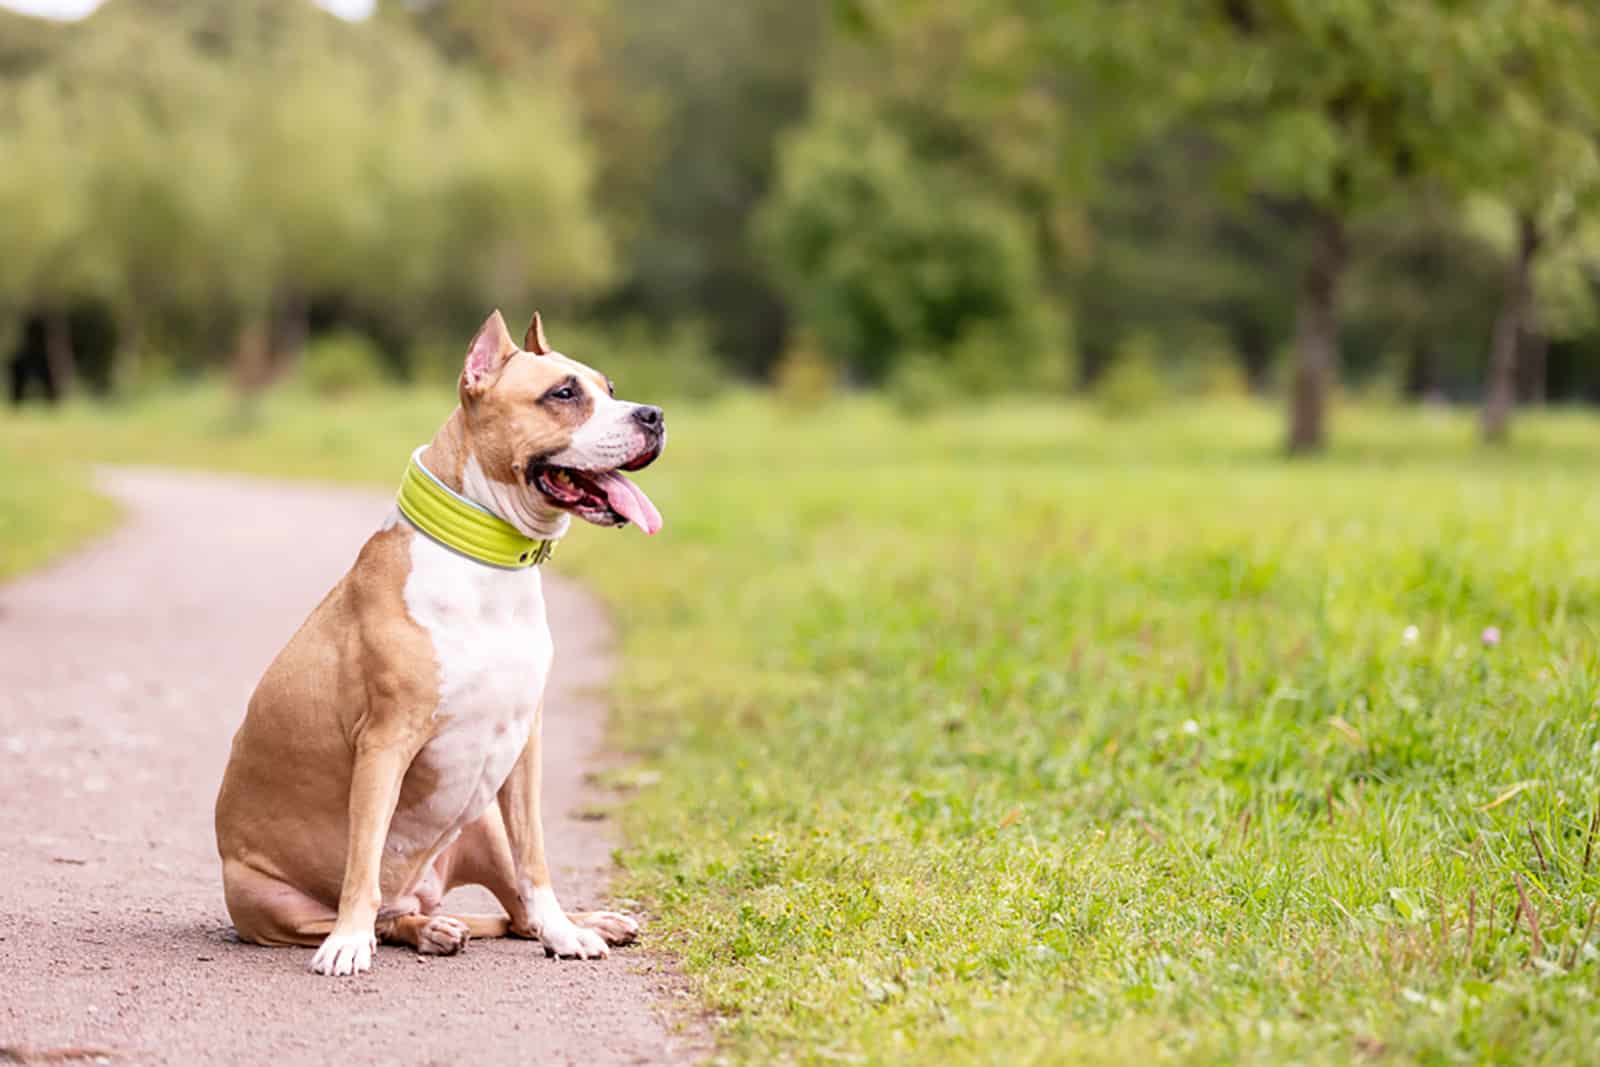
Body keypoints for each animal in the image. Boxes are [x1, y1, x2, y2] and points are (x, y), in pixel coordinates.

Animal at [214, 308, 662, 979]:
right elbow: (363, 866)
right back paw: (417, 930)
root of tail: (424, 891)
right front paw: (347, 942)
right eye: (563, 394)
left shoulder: (523, 744)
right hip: (269, 900)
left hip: (483, 824)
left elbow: (537, 861)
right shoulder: (384, 743)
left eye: (610, 389)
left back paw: (575, 921)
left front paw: (565, 933)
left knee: (517, 911)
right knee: (387, 911)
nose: (653, 415)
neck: (489, 563)